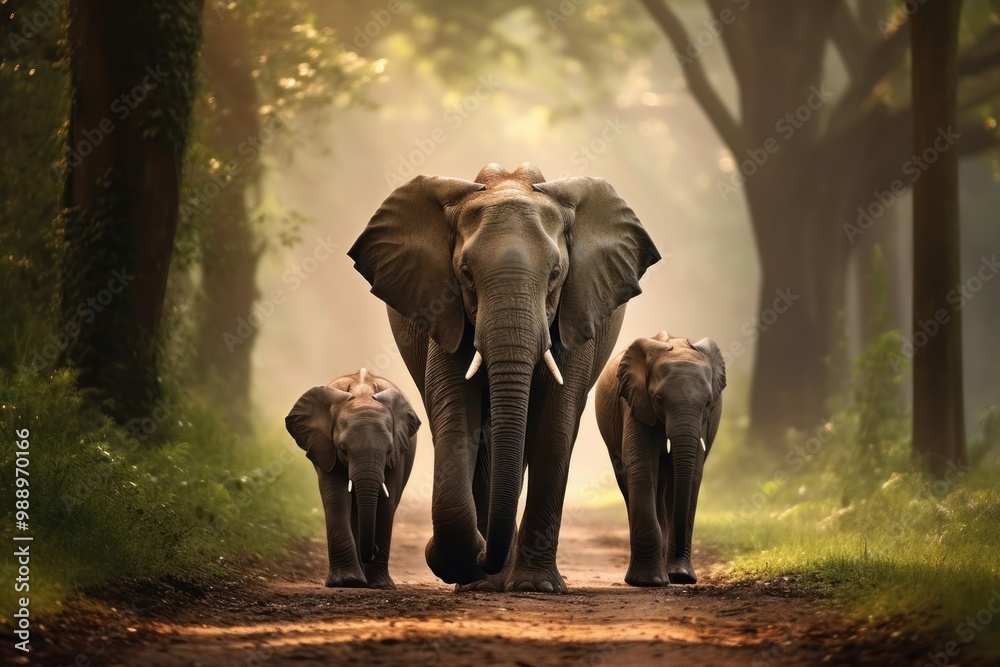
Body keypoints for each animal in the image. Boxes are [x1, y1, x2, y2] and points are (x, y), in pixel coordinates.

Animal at [285, 368, 419, 589]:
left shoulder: (398, 455)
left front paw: (380, 585)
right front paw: (347, 581)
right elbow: (337, 498)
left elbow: (386, 502)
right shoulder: (326, 448)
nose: (373, 551)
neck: (362, 392)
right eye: (343, 449)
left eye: (389, 450)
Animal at [348, 163, 660, 592]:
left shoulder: (576, 311)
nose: (483, 555)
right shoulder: (444, 309)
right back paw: (484, 583)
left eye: (556, 273)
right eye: (465, 273)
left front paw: (536, 587)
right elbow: (456, 417)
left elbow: (554, 426)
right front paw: (467, 568)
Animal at [594, 332, 726, 586]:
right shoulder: (633, 402)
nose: (678, 576)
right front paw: (649, 580)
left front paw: (681, 576)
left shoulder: (707, 420)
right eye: (658, 399)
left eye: (707, 402)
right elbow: (642, 464)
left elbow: (692, 472)